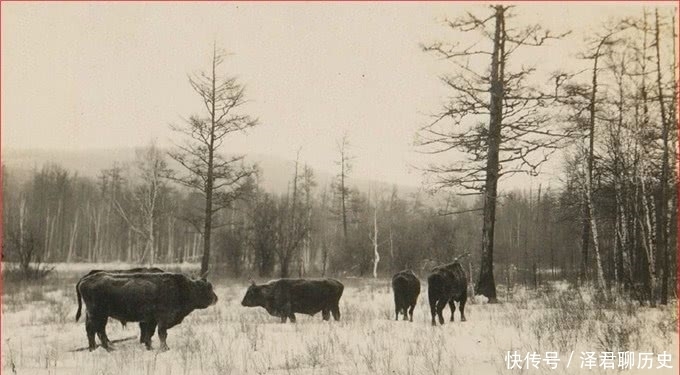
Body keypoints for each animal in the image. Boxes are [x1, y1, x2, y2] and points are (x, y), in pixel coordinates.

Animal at [75, 272, 216, 352]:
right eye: (206, 288)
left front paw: (150, 347)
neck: (183, 287)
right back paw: (107, 348)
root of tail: (84, 280)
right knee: (97, 330)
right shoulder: (162, 319)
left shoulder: (151, 320)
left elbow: (150, 334)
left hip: (95, 315)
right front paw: (165, 348)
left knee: (93, 330)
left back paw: (96, 348)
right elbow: (162, 334)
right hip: (99, 315)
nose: (216, 298)